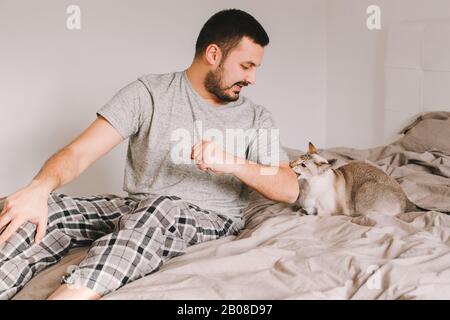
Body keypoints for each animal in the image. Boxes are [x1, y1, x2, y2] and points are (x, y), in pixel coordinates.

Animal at [288, 144, 418, 216]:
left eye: (303, 165)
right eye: (297, 159)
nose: (290, 164)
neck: (307, 187)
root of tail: (407, 199)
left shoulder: (325, 212)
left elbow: (311, 214)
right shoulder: (306, 207)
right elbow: (301, 210)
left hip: (363, 192)